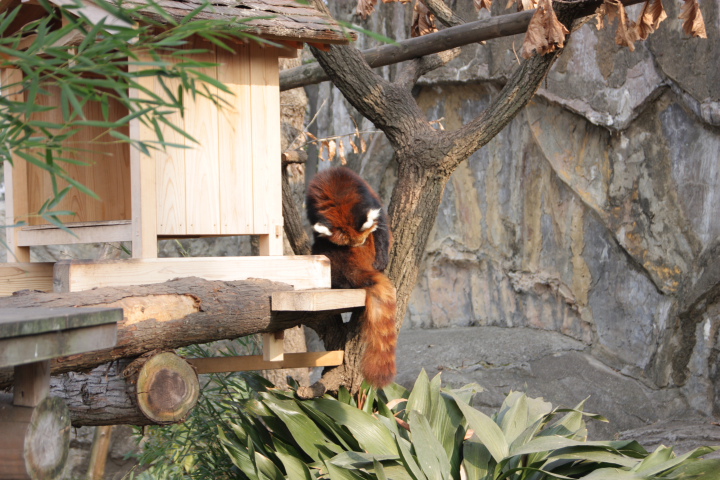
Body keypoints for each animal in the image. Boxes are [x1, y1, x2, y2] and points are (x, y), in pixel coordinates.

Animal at [306, 167, 396, 388]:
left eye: (362, 239)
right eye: (350, 242)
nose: (359, 245)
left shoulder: (369, 197)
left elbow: (381, 227)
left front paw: (383, 258)